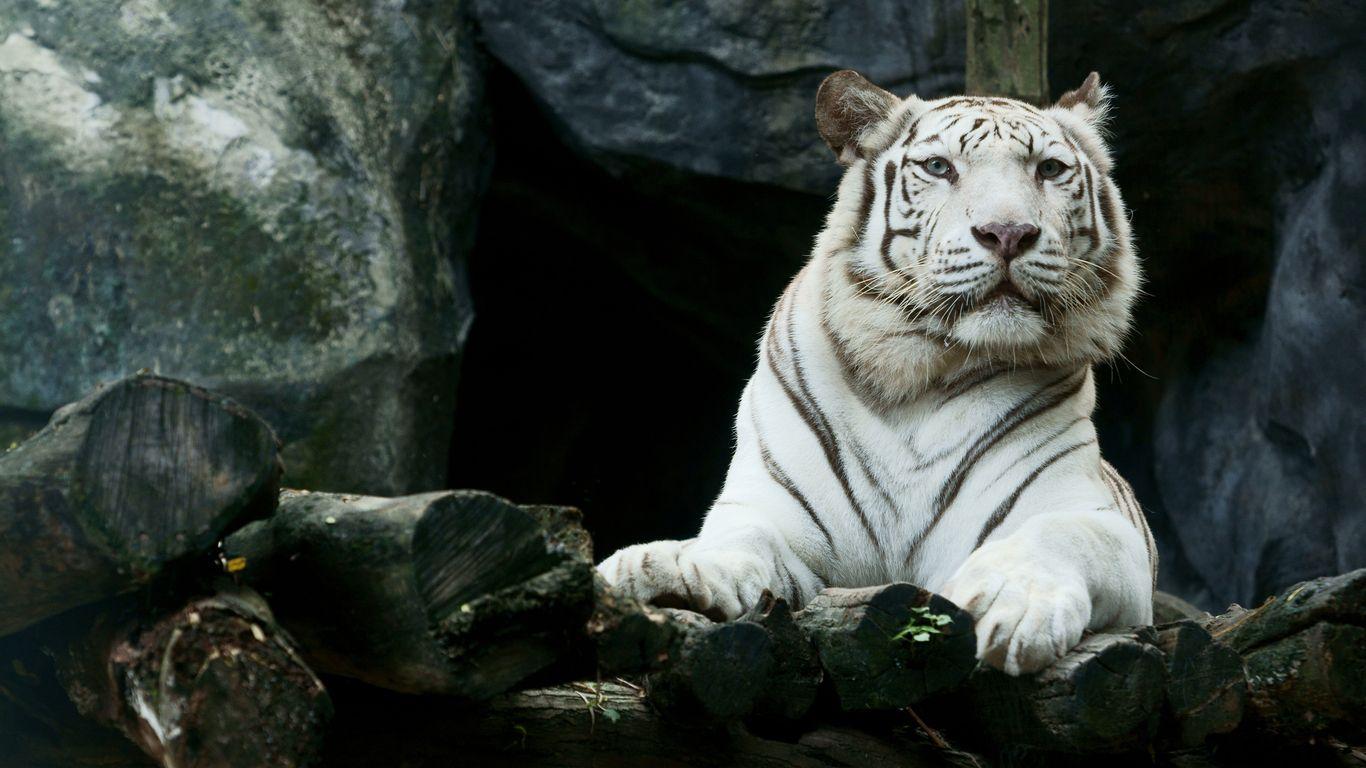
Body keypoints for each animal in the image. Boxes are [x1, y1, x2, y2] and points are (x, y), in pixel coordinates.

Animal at [598, 71, 1156, 675]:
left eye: (1049, 169)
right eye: (939, 167)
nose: (1007, 233)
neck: (920, 377)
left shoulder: (1085, 512)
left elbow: (1058, 535)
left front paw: (1014, 601)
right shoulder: (776, 511)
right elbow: (739, 538)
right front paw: (674, 571)